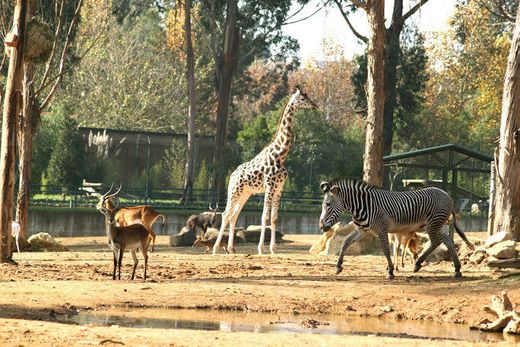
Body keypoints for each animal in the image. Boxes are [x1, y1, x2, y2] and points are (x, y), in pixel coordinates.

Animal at [212, 87, 316, 256]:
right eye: (302, 98)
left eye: (308, 97)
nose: (315, 105)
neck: (280, 155)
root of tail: (232, 175)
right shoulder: (269, 187)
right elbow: (264, 217)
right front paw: (261, 248)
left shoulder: (279, 188)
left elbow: (274, 218)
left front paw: (273, 249)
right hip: (234, 191)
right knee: (226, 214)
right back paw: (215, 249)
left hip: (245, 194)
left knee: (234, 216)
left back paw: (231, 249)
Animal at [316, 178, 476, 282]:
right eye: (324, 205)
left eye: (328, 204)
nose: (322, 227)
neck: (363, 206)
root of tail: (447, 195)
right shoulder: (362, 230)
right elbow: (345, 242)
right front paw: (338, 266)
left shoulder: (382, 229)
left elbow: (386, 250)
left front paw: (391, 272)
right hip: (439, 224)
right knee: (447, 241)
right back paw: (457, 269)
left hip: (433, 223)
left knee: (436, 241)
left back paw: (418, 264)